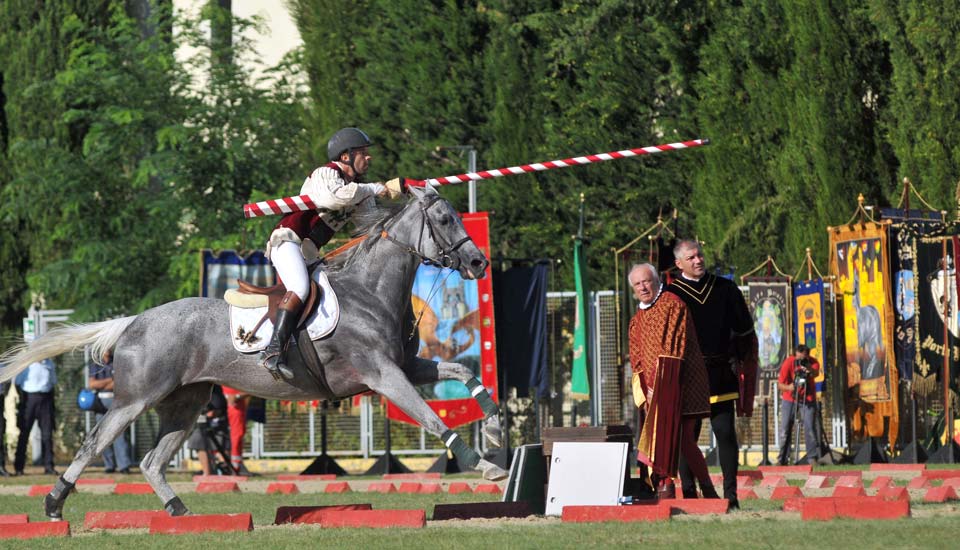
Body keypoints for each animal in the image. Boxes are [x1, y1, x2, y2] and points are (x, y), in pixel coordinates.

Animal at [0, 187, 506, 520]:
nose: (478, 262)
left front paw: (496, 430)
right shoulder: (383, 375)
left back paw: (180, 511)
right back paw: (54, 503)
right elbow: (433, 420)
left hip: (187, 404)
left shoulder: (405, 367)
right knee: (96, 444)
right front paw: (485, 466)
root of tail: (133, 322)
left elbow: (462, 372)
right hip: (134, 400)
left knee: (151, 461)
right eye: (445, 220)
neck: (371, 290)